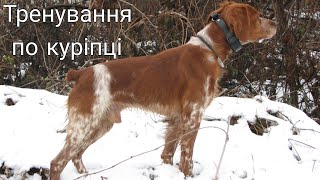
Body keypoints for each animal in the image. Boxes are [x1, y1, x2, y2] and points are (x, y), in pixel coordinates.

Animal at [50, 1, 278, 179]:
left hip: (101, 123)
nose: (275, 23)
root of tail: (81, 74)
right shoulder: (193, 116)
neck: (209, 50)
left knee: (75, 156)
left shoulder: (177, 119)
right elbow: (187, 158)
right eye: (258, 16)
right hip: (85, 123)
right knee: (57, 162)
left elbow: (168, 154)